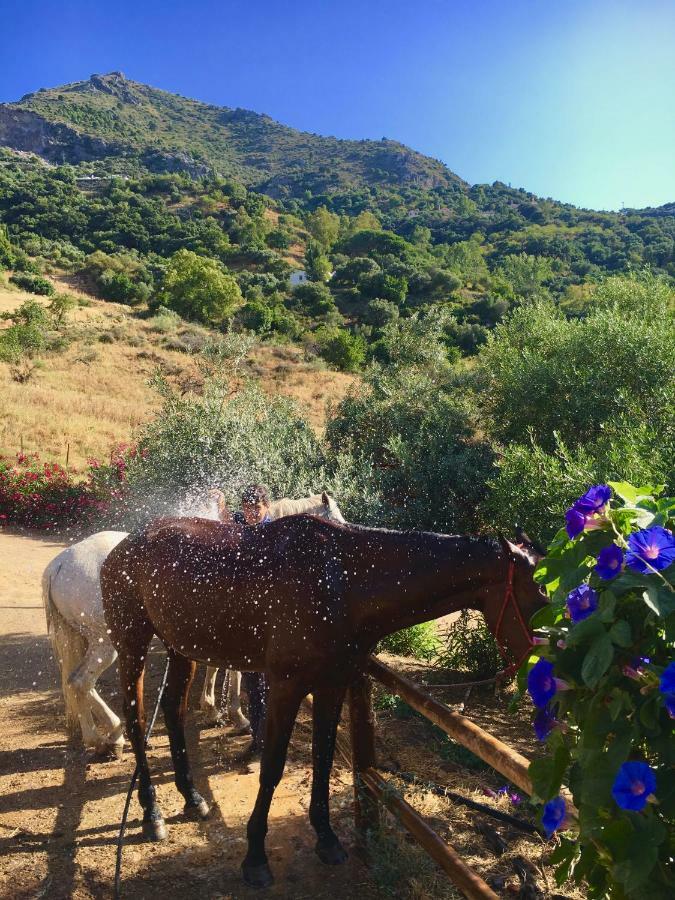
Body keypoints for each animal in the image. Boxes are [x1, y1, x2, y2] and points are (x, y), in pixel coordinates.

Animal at [43, 492, 346, 752]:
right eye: (336, 518)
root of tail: (58, 564)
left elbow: (216, 667)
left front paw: (212, 708)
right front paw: (235, 715)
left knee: (76, 683)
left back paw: (96, 737)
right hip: (106, 642)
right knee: (81, 682)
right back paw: (113, 735)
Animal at [99, 512, 544, 884]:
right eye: (539, 592)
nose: (546, 667)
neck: (342, 581)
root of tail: (124, 546)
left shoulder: (332, 685)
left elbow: (325, 758)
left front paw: (326, 837)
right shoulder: (285, 686)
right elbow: (272, 767)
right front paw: (255, 857)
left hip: (181, 649)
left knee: (173, 712)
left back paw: (191, 798)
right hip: (132, 643)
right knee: (137, 721)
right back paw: (151, 813)